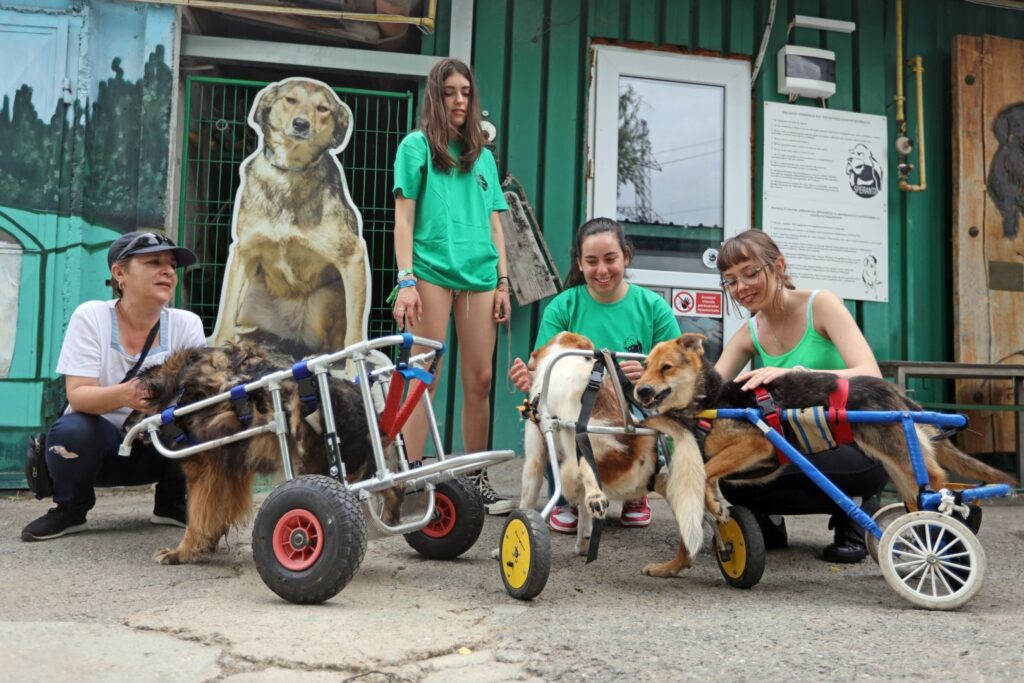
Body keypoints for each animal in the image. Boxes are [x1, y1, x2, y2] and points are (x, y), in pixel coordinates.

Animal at [126, 342, 395, 565]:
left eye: (136, 403)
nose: (123, 427)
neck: (179, 391)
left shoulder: (204, 470)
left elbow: (198, 517)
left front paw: (181, 552)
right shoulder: (231, 470)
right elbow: (219, 512)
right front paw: (207, 543)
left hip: (320, 468)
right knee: (395, 487)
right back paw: (395, 519)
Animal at [520, 331, 704, 573]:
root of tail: (631, 438)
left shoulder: (535, 457)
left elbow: (527, 501)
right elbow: (584, 521)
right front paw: (583, 545)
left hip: (577, 457)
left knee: (586, 478)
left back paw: (596, 499)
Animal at [630, 333, 1015, 581]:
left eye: (666, 368)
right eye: (644, 366)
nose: (641, 390)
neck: (709, 400)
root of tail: (895, 392)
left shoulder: (758, 446)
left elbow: (709, 472)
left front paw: (714, 503)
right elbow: (695, 509)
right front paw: (672, 567)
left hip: (899, 451)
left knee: (937, 483)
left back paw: (946, 527)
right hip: (898, 461)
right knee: (919, 495)